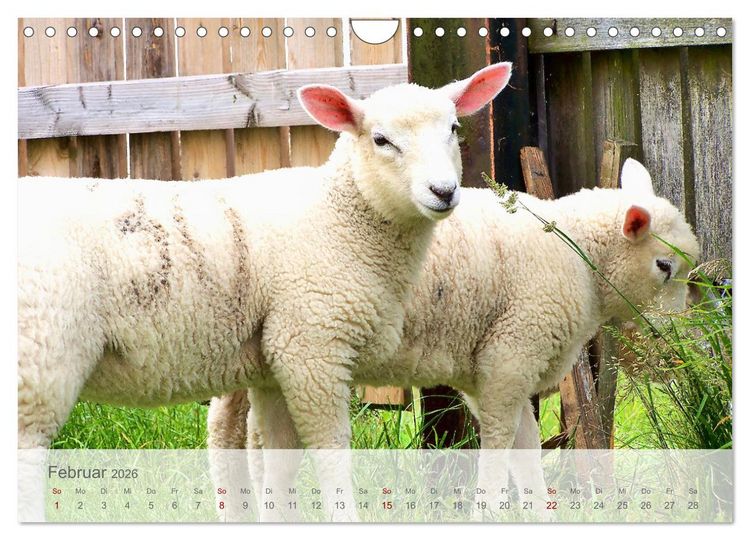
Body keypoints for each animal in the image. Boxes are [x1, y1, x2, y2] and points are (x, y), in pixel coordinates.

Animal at [17, 62, 513, 521]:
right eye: (380, 140)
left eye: (453, 129)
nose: (444, 191)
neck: (341, 218)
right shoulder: (311, 346)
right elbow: (331, 448)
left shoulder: (275, 359)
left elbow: (279, 458)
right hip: (42, 354)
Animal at [208, 158, 700, 520]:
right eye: (663, 266)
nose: (675, 336)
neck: (574, 249)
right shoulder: (512, 353)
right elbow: (502, 442)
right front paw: (489, 510)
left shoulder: (502, 370)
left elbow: (526, 448)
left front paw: (539, 513)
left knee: (234, 430)